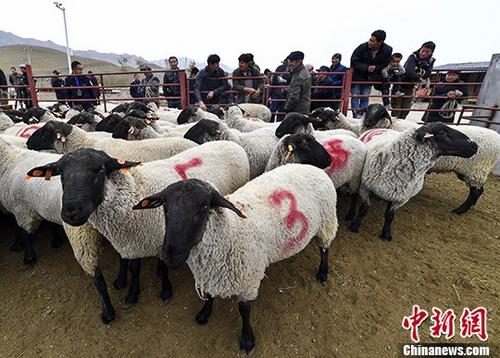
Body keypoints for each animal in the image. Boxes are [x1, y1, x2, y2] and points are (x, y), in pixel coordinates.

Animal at [26, 141, 249, 324]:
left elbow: (155, 268)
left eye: (100, 169)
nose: (71, 212)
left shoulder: (160, 240)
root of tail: (230, 142)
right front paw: (125, 286)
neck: (132, 195)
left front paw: (160, 291)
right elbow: (130, 264)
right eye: (60, 172)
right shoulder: (129, 241)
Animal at [133, 164, 338, 354]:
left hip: (327, 220)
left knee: (325, 247)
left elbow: (244, 311)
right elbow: (209, 296)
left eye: (204, 206)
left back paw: (322, 273)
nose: (170, 255)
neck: (232, 230)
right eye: (165, 205)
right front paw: (204, 314)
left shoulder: (249, 280)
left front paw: (247, 340)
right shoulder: (211, 274)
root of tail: (312, 167)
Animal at [350, 121, 478, 242]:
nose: (474, 145)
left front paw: (386, 234)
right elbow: (364, 209)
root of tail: (382, 128)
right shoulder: (365, 187)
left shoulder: (400, 198)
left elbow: (389, 216)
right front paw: (355, 226)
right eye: (442, 132)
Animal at [360, 102, 500, 214]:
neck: (391, 125)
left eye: (381, 112)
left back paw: (460, 210)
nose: (368, 122)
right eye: (368, 109)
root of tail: (496, 136)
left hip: (476, 170)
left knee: (476, 191)